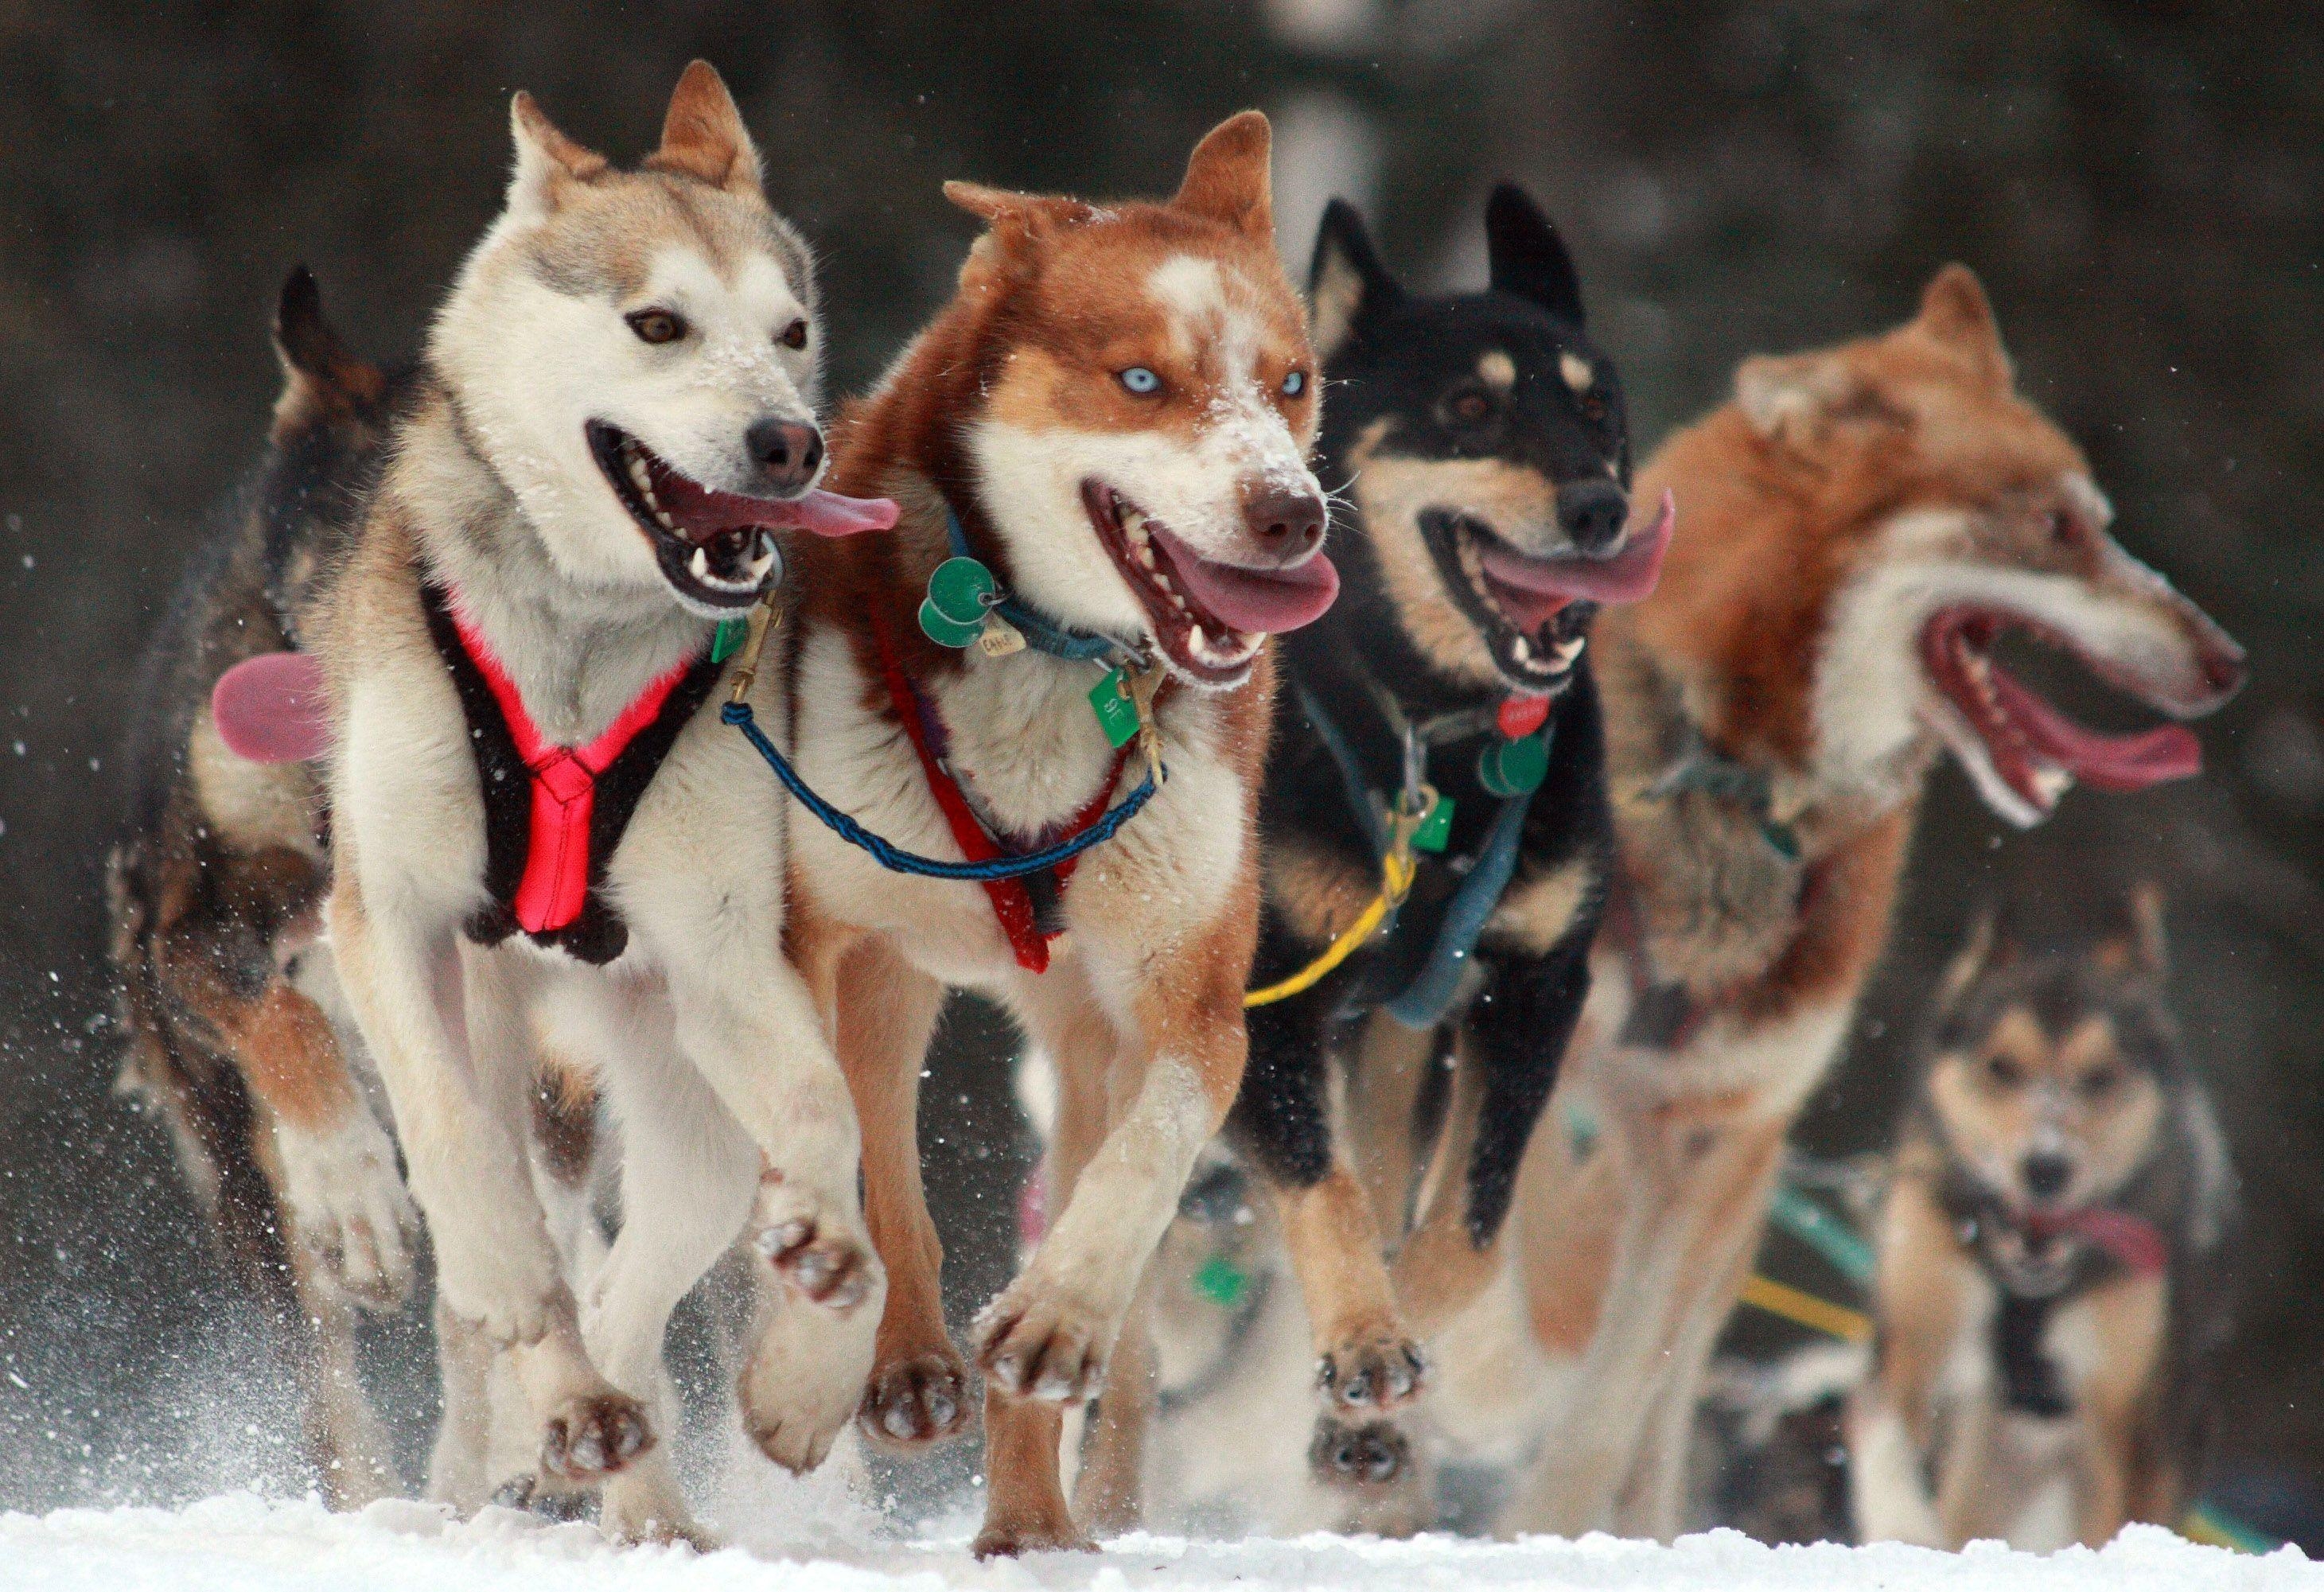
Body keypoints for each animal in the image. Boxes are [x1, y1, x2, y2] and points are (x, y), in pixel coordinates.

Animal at [781, 115, 1329, 1552]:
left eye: (1292, 384)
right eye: (1141, 378)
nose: (1293, 512)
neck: (1047, 652)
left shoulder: (1186, 995)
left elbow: (1145, 1156)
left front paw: (1055, 1323)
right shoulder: (816, 938)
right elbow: (853, 1173)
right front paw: (835, 1365)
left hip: (1076, 1031)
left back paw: (1033, 1516)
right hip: (889, 972)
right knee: (880, 1160)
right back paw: (906, 1366)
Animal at [1227, 193, 1664, 1487]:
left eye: (1595, 408)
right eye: (1469, 407)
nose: (1598, 508)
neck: (1431, 737)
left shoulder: (1532, 991)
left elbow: (1466, 1229)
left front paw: (1395, 1376)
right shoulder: (1265, 1000)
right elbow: (1323, 1192)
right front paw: (1368, 1345)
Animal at [1840, 892, 2240, 1552]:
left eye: (2100, 1076)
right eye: (2001, 1066)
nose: (2046, 1166)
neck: (2026, 1291)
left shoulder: (2122, 1425)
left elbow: (2116, 1513)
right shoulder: (1912, 1329)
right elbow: (1885, 1437)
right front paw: (1902, 1525)